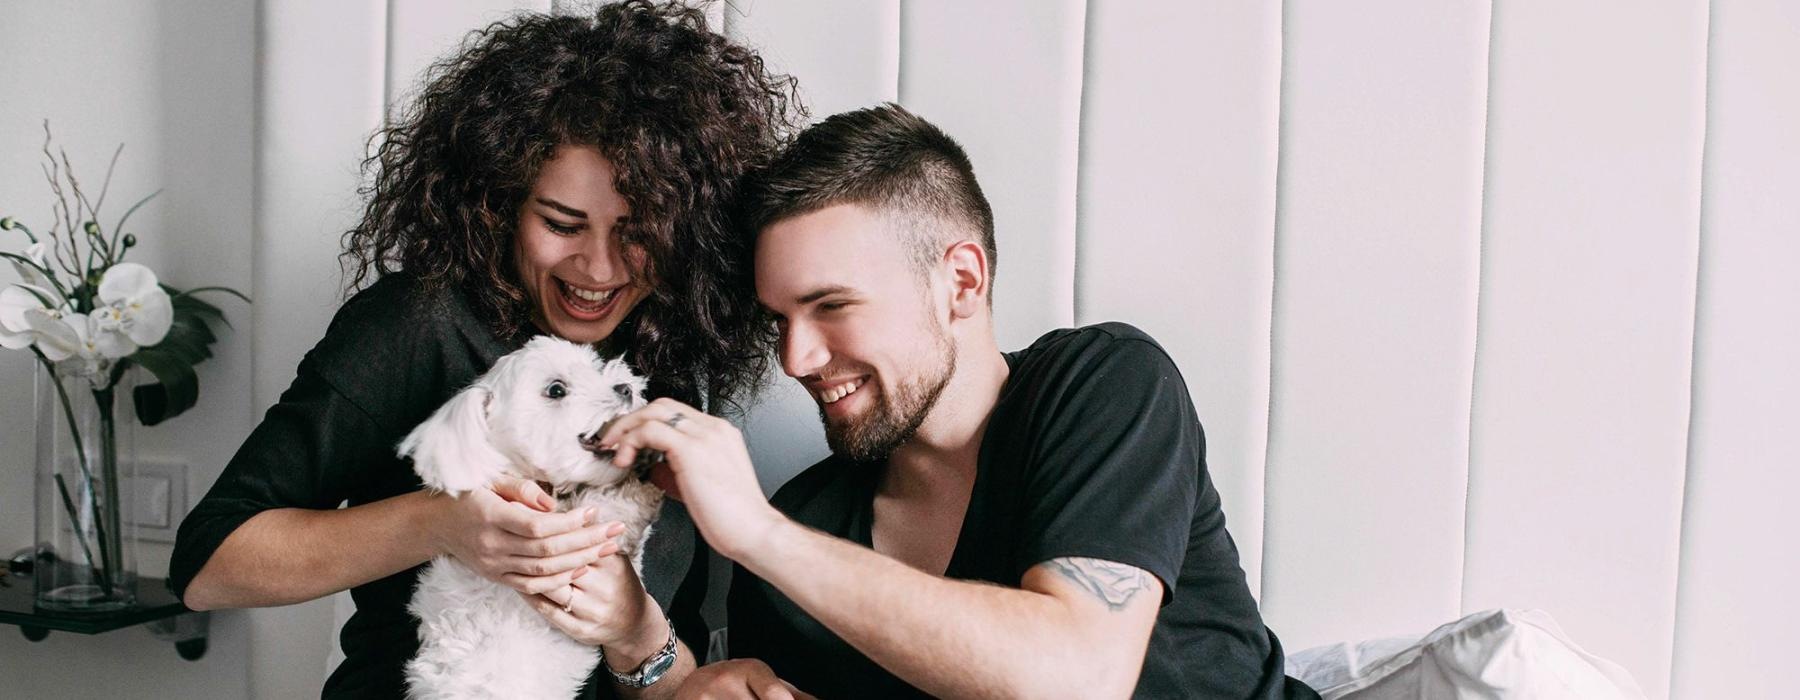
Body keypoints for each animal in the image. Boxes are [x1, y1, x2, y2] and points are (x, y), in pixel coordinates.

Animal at [397, 334, 666, 694]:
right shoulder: (581, 536)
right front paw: (640, 481)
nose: (625, 387)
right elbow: (615, 510)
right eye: (556, 390)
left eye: (593, 367)